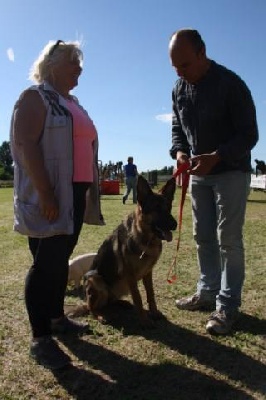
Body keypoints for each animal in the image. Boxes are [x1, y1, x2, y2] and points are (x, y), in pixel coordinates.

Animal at [83, 177, 177, 326]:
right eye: (156, 208)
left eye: (169, 208)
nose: (175, 225)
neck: (145, 238)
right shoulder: (130, 275)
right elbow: (138, 298)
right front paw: (145, 321)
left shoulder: (148, 272)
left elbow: (150, 294)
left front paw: (154, 313)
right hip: (95, 279)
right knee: (91, 307)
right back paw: (100, 315)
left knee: (111, 301)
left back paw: (122, 303)